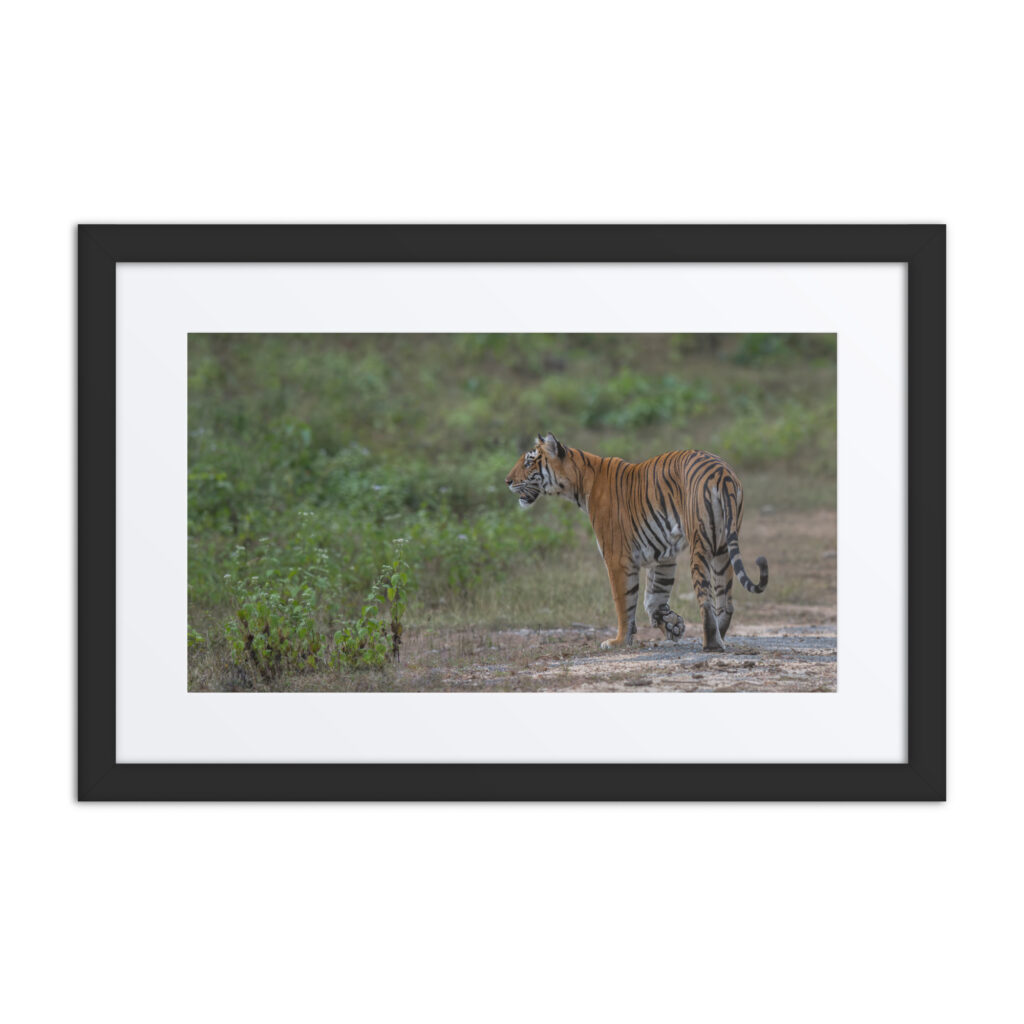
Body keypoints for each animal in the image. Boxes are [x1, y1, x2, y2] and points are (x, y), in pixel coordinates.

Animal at [505, 433, 768, 652]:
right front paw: (672, 625)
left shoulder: (617, 558)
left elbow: (624, 602)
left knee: (705, 600)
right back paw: (720, 636)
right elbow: (653, 597)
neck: (580, 481)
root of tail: (722, 473)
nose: (507, 481)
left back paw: (711, 643)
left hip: (700, 544)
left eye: (528, 462)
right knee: (726, 601)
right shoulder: (663, 554)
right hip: (723, 547)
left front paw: (619, 641)